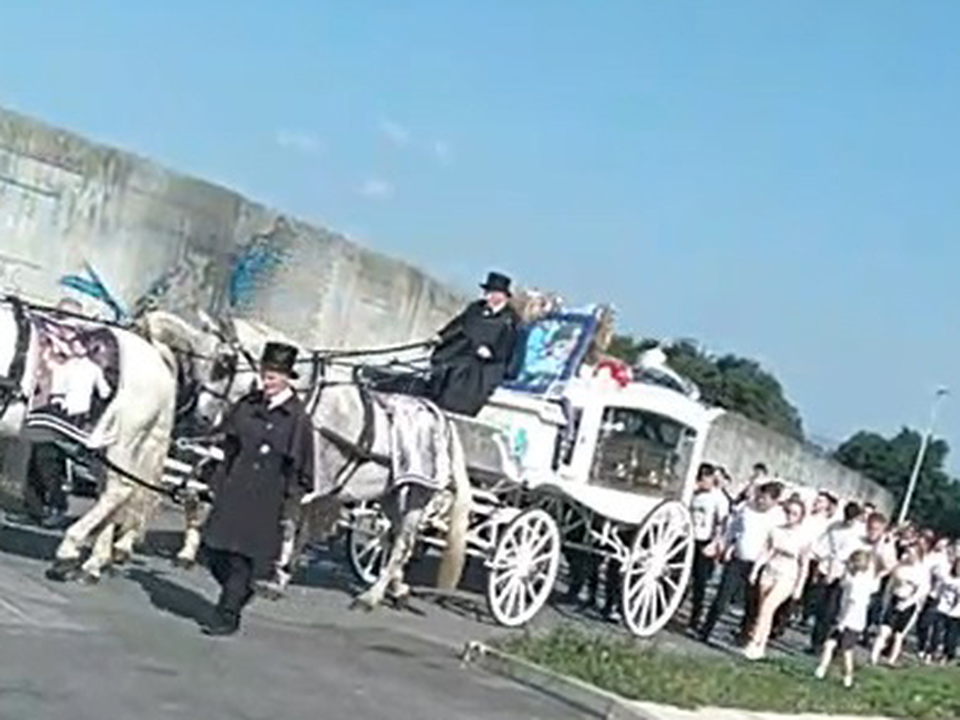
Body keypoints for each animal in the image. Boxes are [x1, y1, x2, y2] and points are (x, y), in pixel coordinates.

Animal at [0, 296, 176, 584]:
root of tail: (157, 359)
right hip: (101, 448)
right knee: (109, 493)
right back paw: (94, 562)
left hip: (122, 442)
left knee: (119, 491)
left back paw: (69, 552)